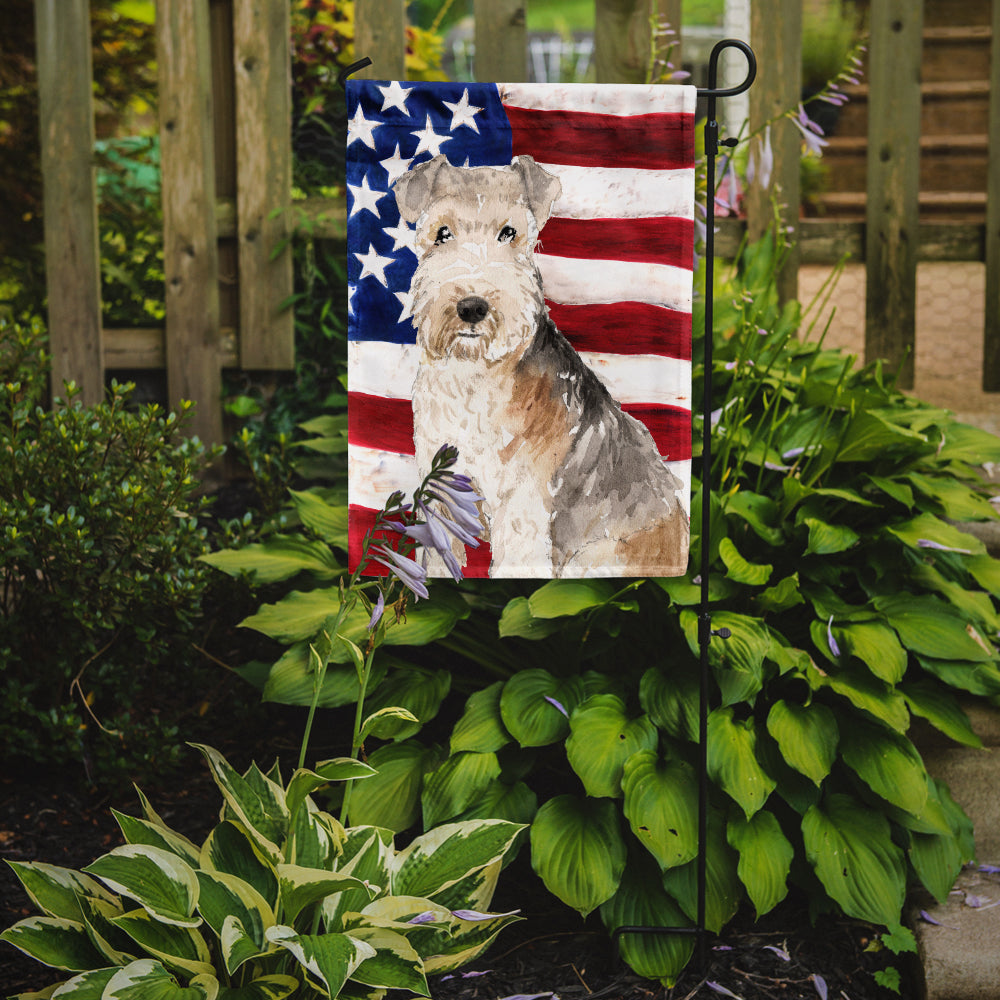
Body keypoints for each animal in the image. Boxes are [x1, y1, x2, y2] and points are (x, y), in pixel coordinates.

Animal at [390, 155, 688, 580]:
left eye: (509, 232)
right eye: (442, 232)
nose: (472, 306)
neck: (477, 374)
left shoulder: (523, 497)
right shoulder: (440, 478)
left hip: (593, 560)